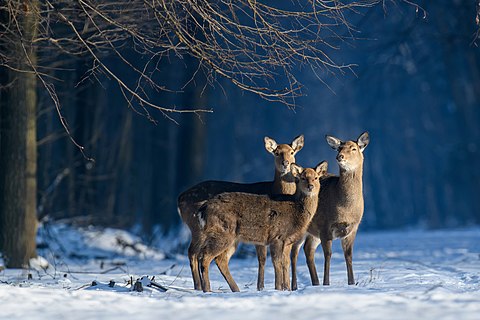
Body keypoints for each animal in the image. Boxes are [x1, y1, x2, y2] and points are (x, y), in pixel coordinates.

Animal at [176, 134, 304, 290]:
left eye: (292, 152)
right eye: (276, 153)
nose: (286, 163)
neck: (275, 190)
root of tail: (180, 198)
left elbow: (281, 260)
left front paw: (283, 287)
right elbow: (263, 259)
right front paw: (264, 287)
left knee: (208, 255)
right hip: (197, 227)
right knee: (194, 252)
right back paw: (200, 287)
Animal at [190, 161, 326, 292]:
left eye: (316, 178)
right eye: (303, 178)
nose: (310, 186)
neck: (295, 211)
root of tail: (203, 209)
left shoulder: (288, 241)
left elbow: (285, 263)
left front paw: (286, 288)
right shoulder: (277, 237)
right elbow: (277, 263)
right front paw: (279, 288)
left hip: (232, 239)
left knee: (220, 259)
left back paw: (236, 289)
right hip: (222, 233)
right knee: (205, 256)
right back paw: (208, 289)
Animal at [290, 131, 370, 288]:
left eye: (353, 148)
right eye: (339, 148)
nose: (340, 157)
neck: (345, 209)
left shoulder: (353, 227)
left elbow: (349, 255)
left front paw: (352, 283)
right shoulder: (325, 225)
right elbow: (328, 255)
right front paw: (327, 283)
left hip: (313, 232)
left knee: (308, 249)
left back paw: (315, 283)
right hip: (302, 227)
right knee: (293, 252)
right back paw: (295, 286)